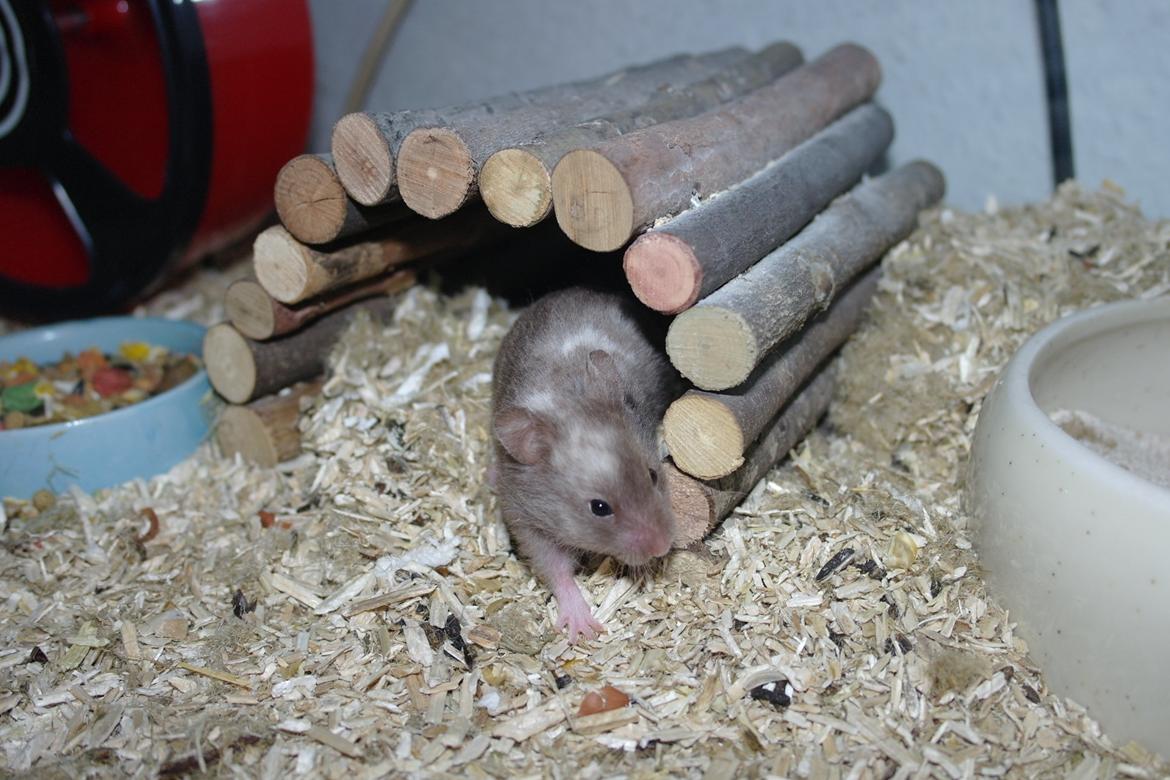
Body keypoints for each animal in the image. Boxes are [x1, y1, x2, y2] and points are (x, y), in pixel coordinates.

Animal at [491, 287, 680, 641]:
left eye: (653, 475)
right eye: (599, 508)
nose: (662, 548)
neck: (567, 398)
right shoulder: (526, 520)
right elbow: (556, 569)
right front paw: (584, 629)